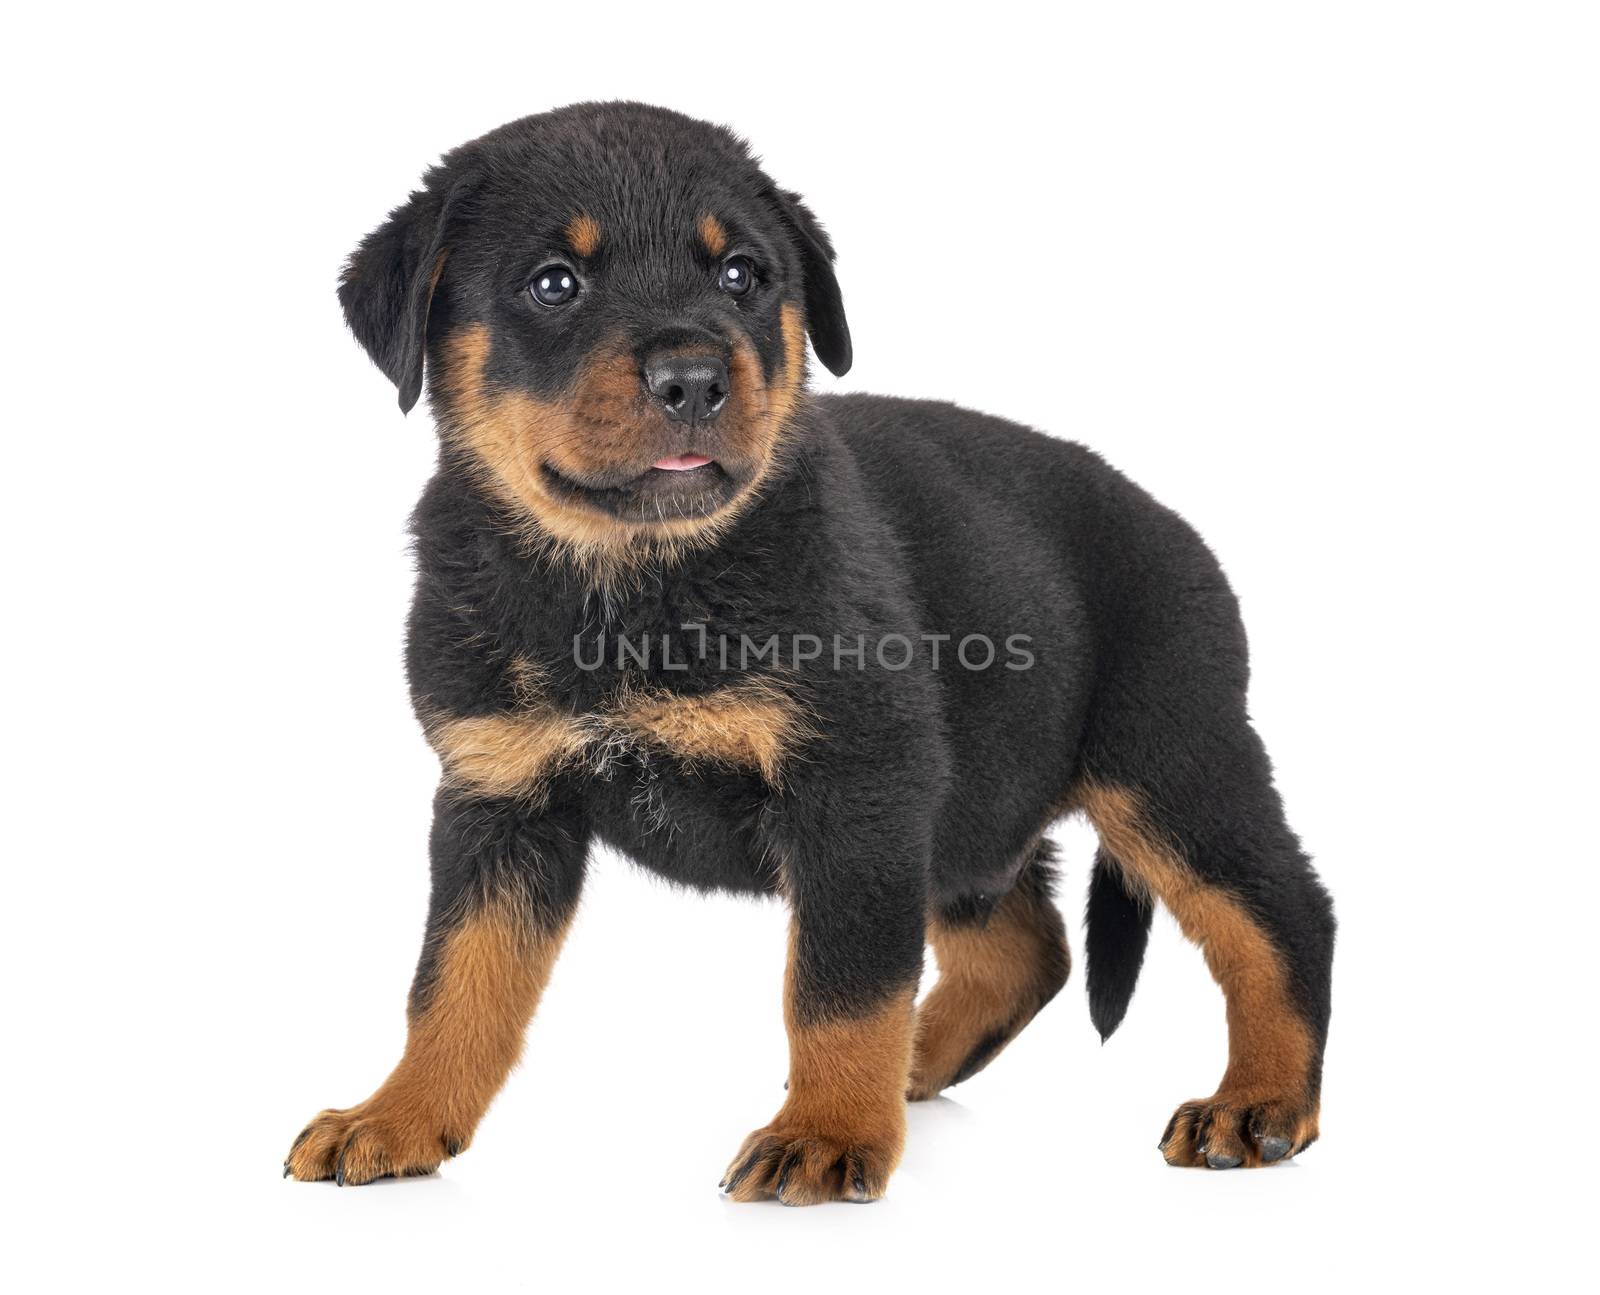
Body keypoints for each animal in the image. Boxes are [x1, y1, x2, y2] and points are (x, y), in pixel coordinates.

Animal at [288, 100, 1337, 1203]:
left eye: (741, 274)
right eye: (554, 282)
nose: (694, 379)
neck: (632, 583)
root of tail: (1176, 529)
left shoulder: (857, 788)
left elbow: (838, 984)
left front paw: (825, 1133)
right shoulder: (500, 795)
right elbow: (456, 981)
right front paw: (398, 1114)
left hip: (1168, 758)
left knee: (1282, 909)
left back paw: (1257, 1103)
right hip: (979, 802)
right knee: (1026, 947)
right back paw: (917, 1064)